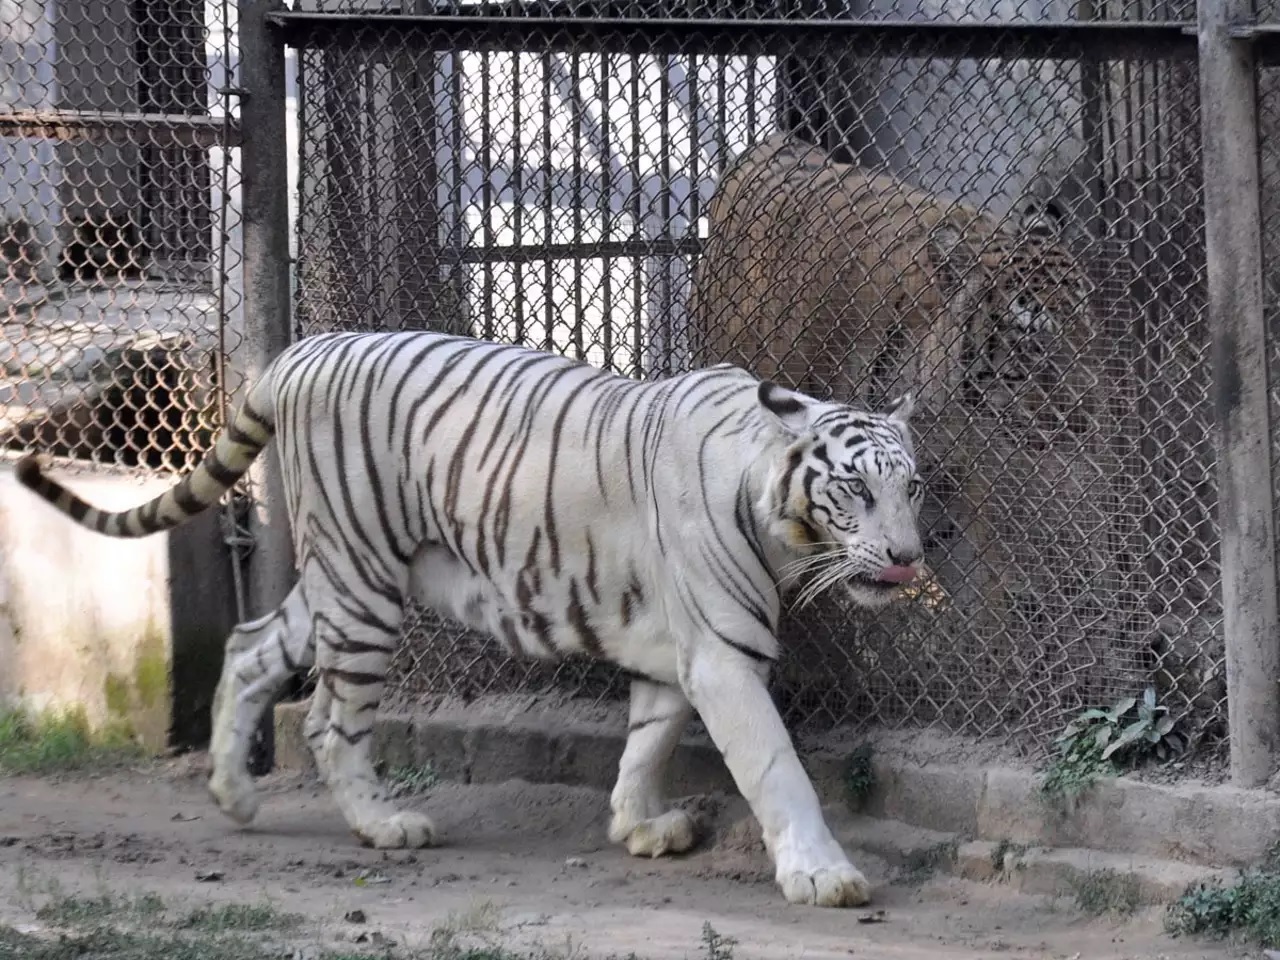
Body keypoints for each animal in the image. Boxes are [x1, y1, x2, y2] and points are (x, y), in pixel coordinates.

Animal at [15, 332, 926, 911]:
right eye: (856, 489)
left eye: (911, 486)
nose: (909, 558)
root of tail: (297, 353)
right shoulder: (725, 653)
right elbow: (775, 767)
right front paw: (823, 875)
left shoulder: (673, 648)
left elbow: (650, 738)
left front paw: (638, 825)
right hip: (362, 585)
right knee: (329, 721)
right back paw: (383, 825)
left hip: (337, 579)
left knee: (246, 648)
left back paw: (234, 795)